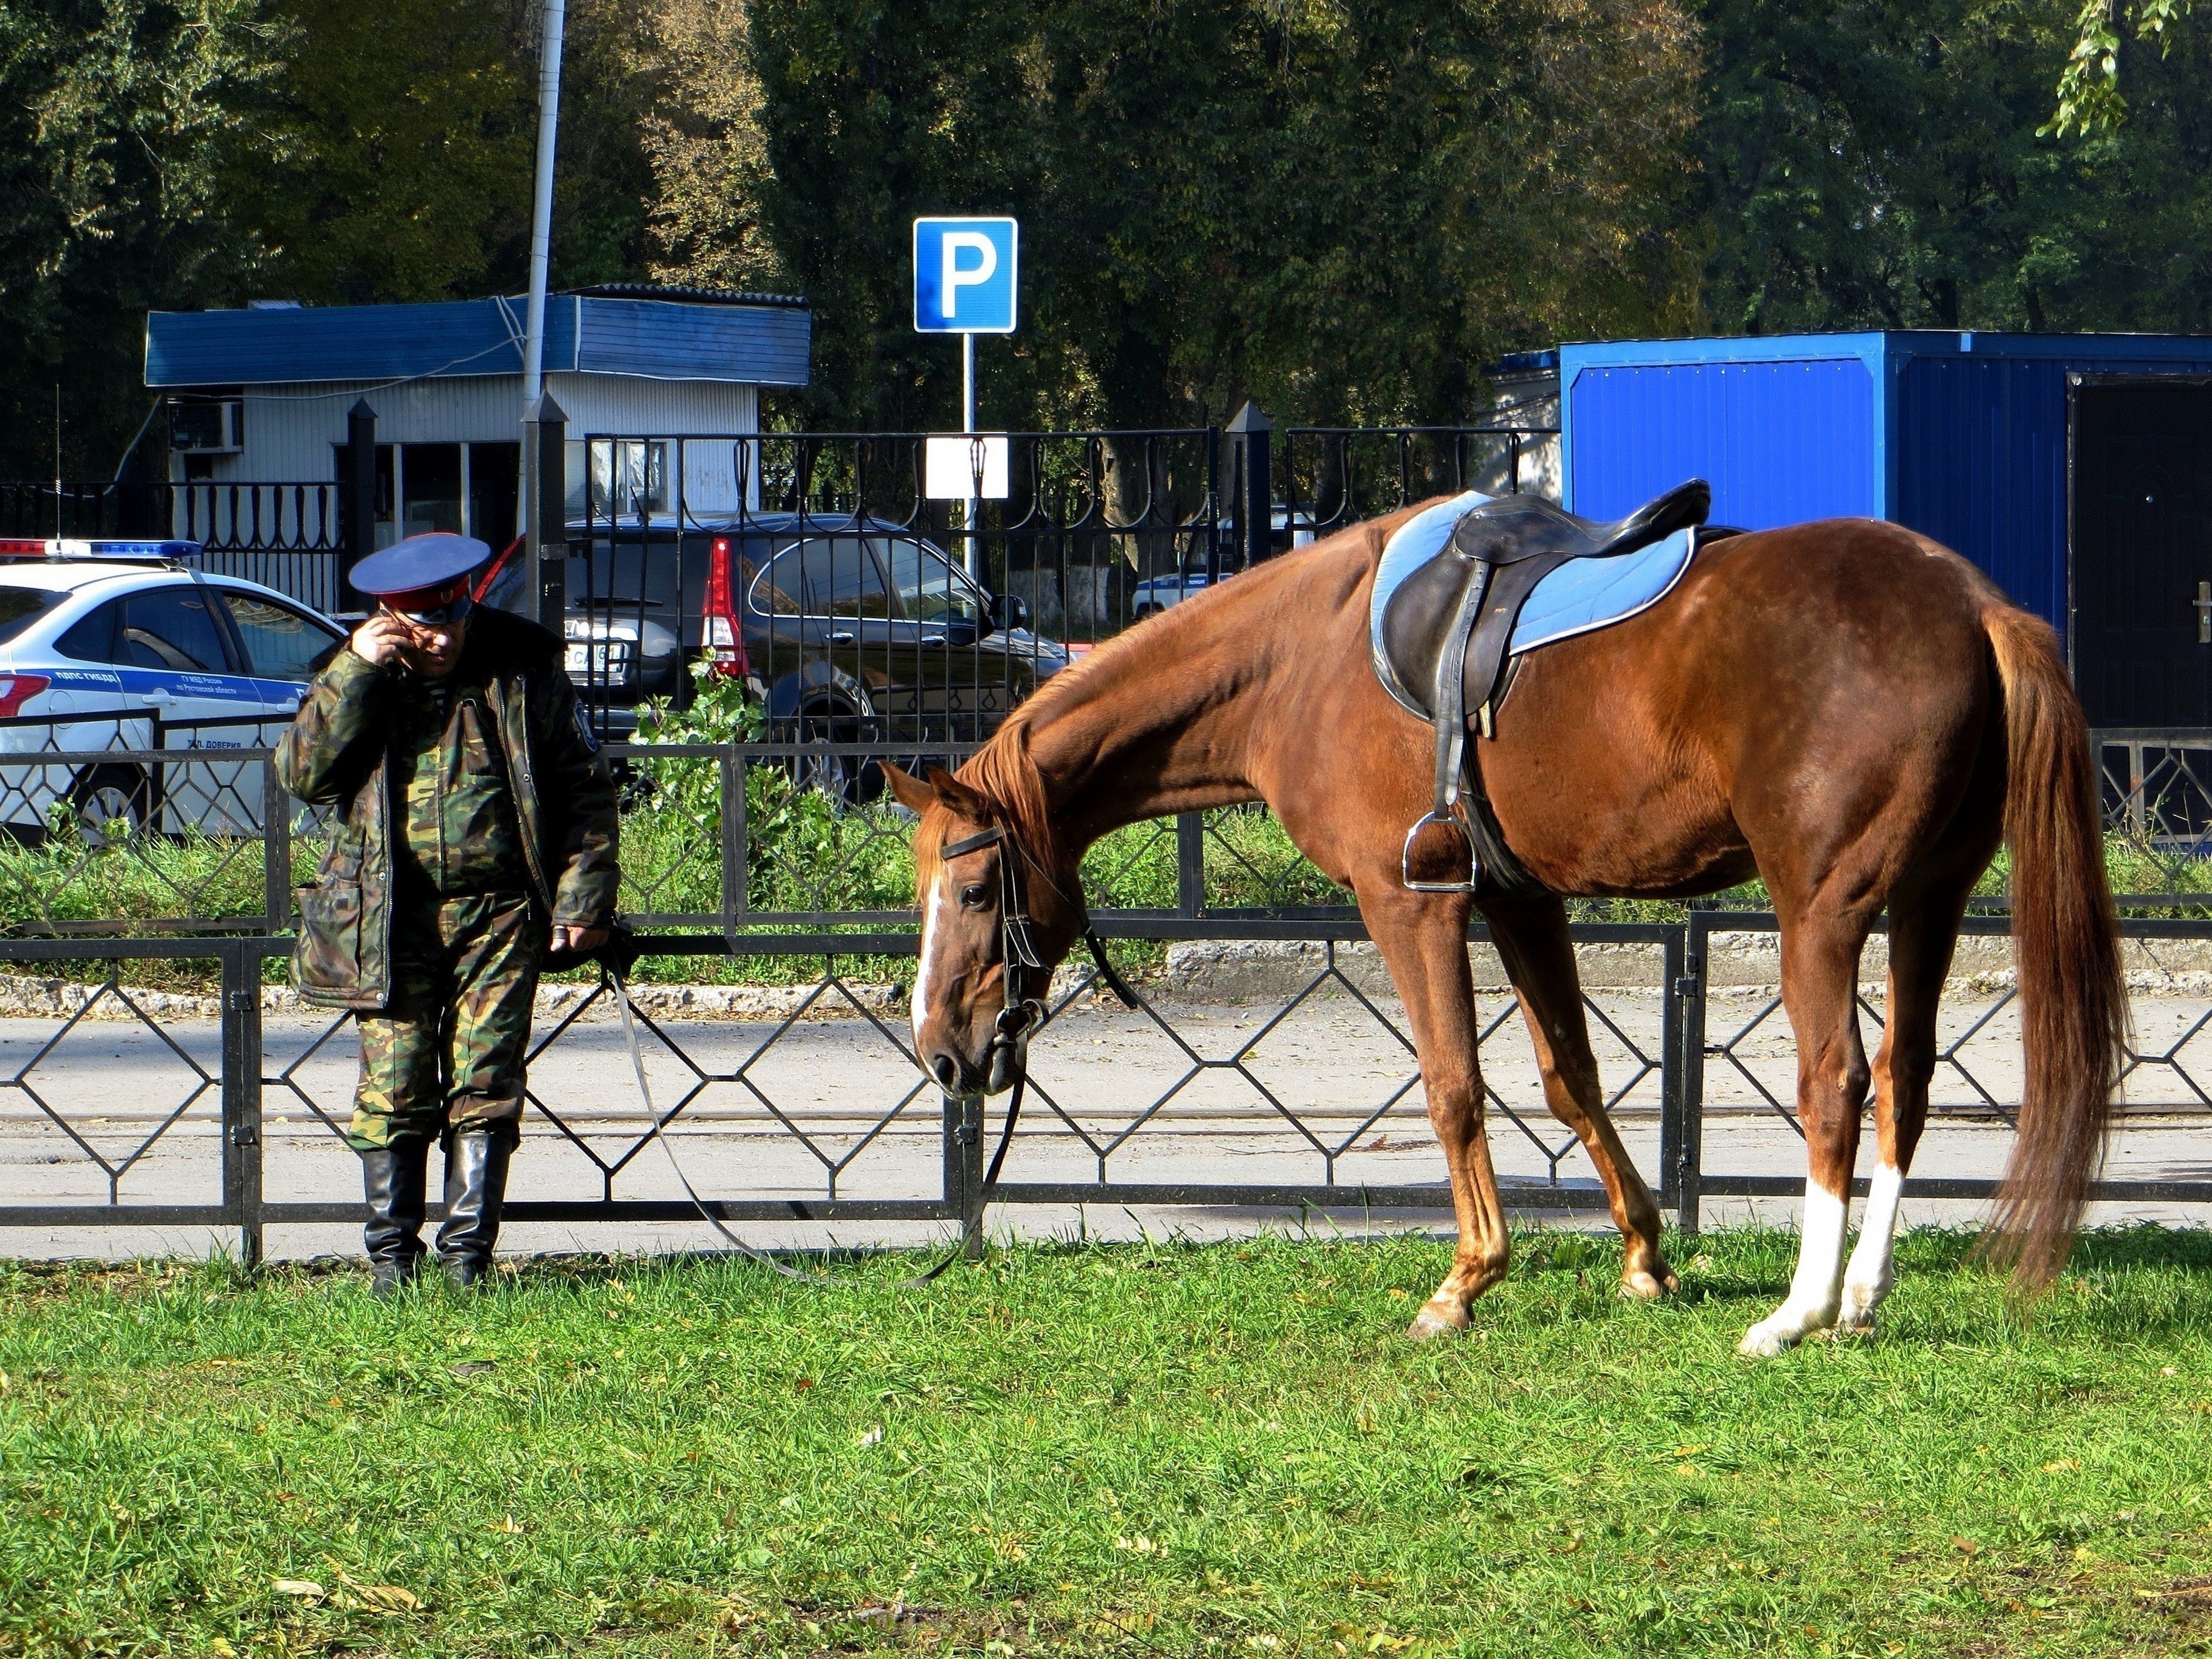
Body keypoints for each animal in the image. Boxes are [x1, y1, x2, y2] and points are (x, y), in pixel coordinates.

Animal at [880, 504, 2123, 1354]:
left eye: (977, 893)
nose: (940, 1049)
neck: (1302, 654)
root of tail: (1971, 602)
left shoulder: (1412, 899)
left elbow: (1453, 1083)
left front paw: (1468, 1277)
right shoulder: (1520, 898)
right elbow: (1570, 1074)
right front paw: (1643, 1254)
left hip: (1819, 910)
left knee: (1836, 1081)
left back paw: (1800, 1307)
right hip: (1929, 899)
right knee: (1907, 1077)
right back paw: (1860, 1293)